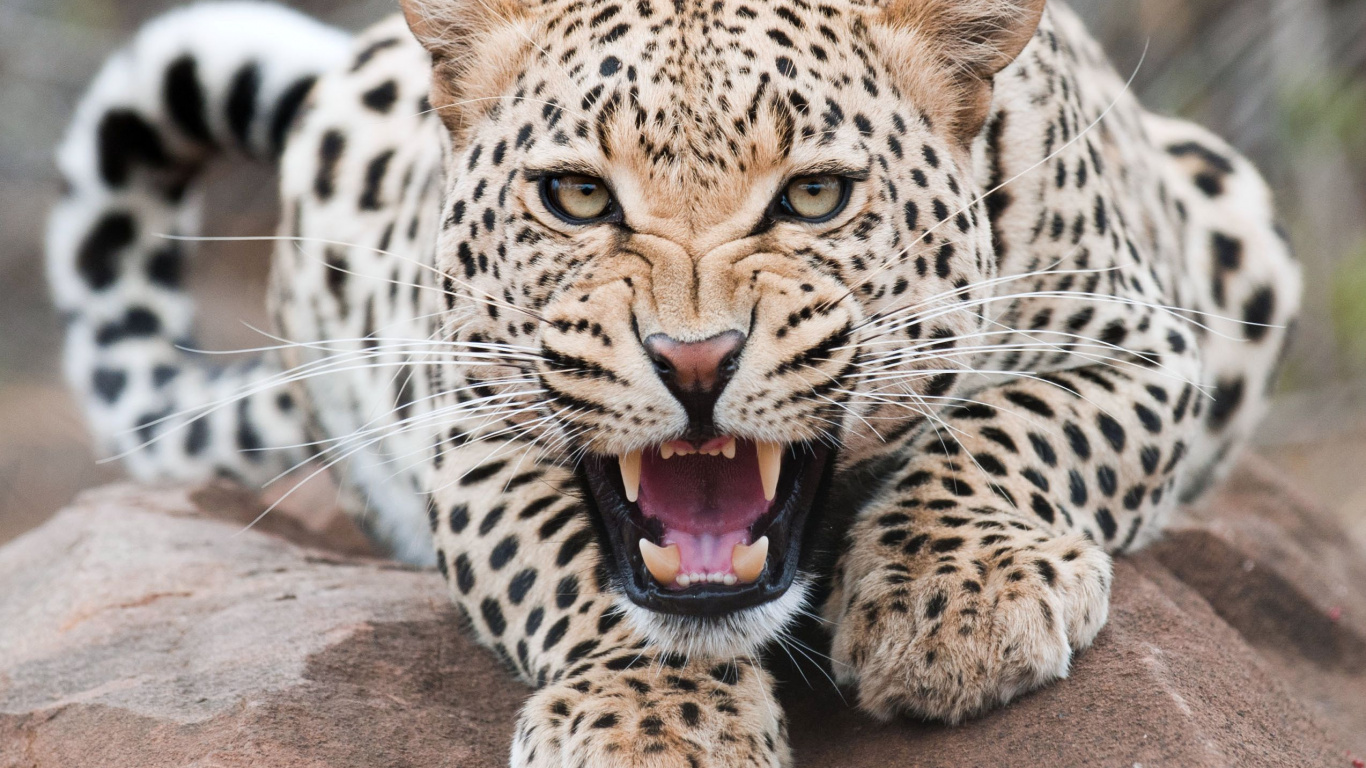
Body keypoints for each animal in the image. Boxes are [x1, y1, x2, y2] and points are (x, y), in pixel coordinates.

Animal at [47, 0, 1300, 764]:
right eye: (576, 196)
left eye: (812, 196)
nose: (693, 360)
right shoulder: (476, 421)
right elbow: (573, 571)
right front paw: (652, 724)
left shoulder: (1142, 340)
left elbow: (1013, 427)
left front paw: (954, 603)